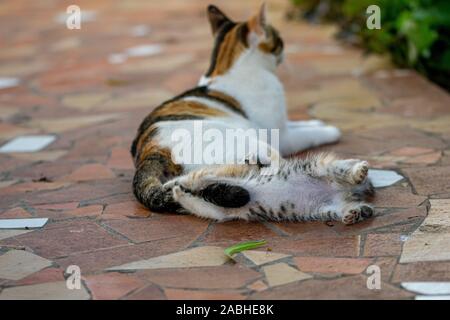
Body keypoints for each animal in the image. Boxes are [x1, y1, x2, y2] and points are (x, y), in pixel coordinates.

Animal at [130, 4, 342, 215]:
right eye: (279, 39)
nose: (284, 49)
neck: (225, 67)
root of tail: (150, 151)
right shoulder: (282, 135)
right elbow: (308, 134)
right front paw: (330, 130)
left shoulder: (280, 123)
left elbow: (299, 124)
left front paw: (316, 122)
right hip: (257, 148)